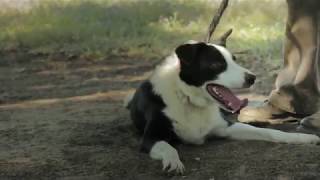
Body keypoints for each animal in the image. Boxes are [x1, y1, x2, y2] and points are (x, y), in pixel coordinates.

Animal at [123, 40, 320, 173]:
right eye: (216, 64)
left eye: (234, 60)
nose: (252, 78)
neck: (188, 98)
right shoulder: (151, 138)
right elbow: (169, 148)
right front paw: (173, 162)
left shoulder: (226, 127)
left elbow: (270, 132)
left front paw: (301, 138)